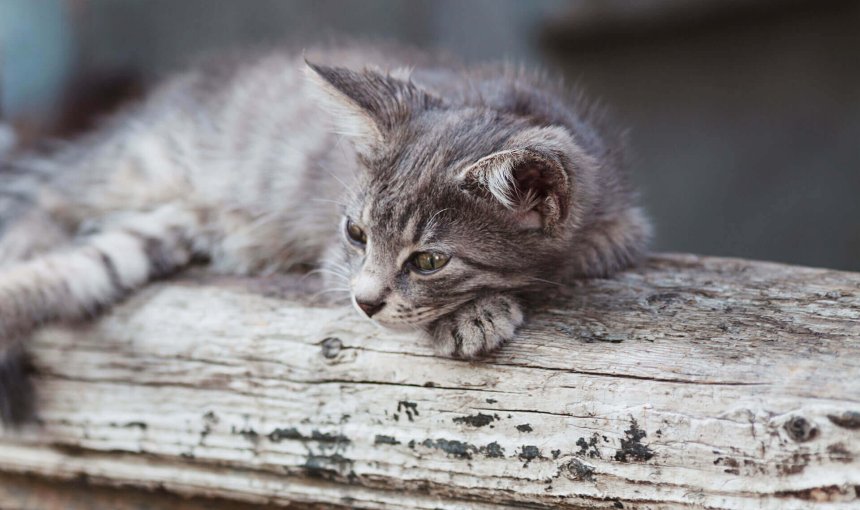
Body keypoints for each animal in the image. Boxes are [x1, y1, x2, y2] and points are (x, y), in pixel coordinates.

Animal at [0, 46, 644, 422]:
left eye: (429, 261)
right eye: (356, 233)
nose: (364, 302)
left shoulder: (621, 228)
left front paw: (479, 309)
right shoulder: (333, 260)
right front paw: (475, 314)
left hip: (163, 226)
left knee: (79, 266)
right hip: (137, 167)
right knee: (39, 206)